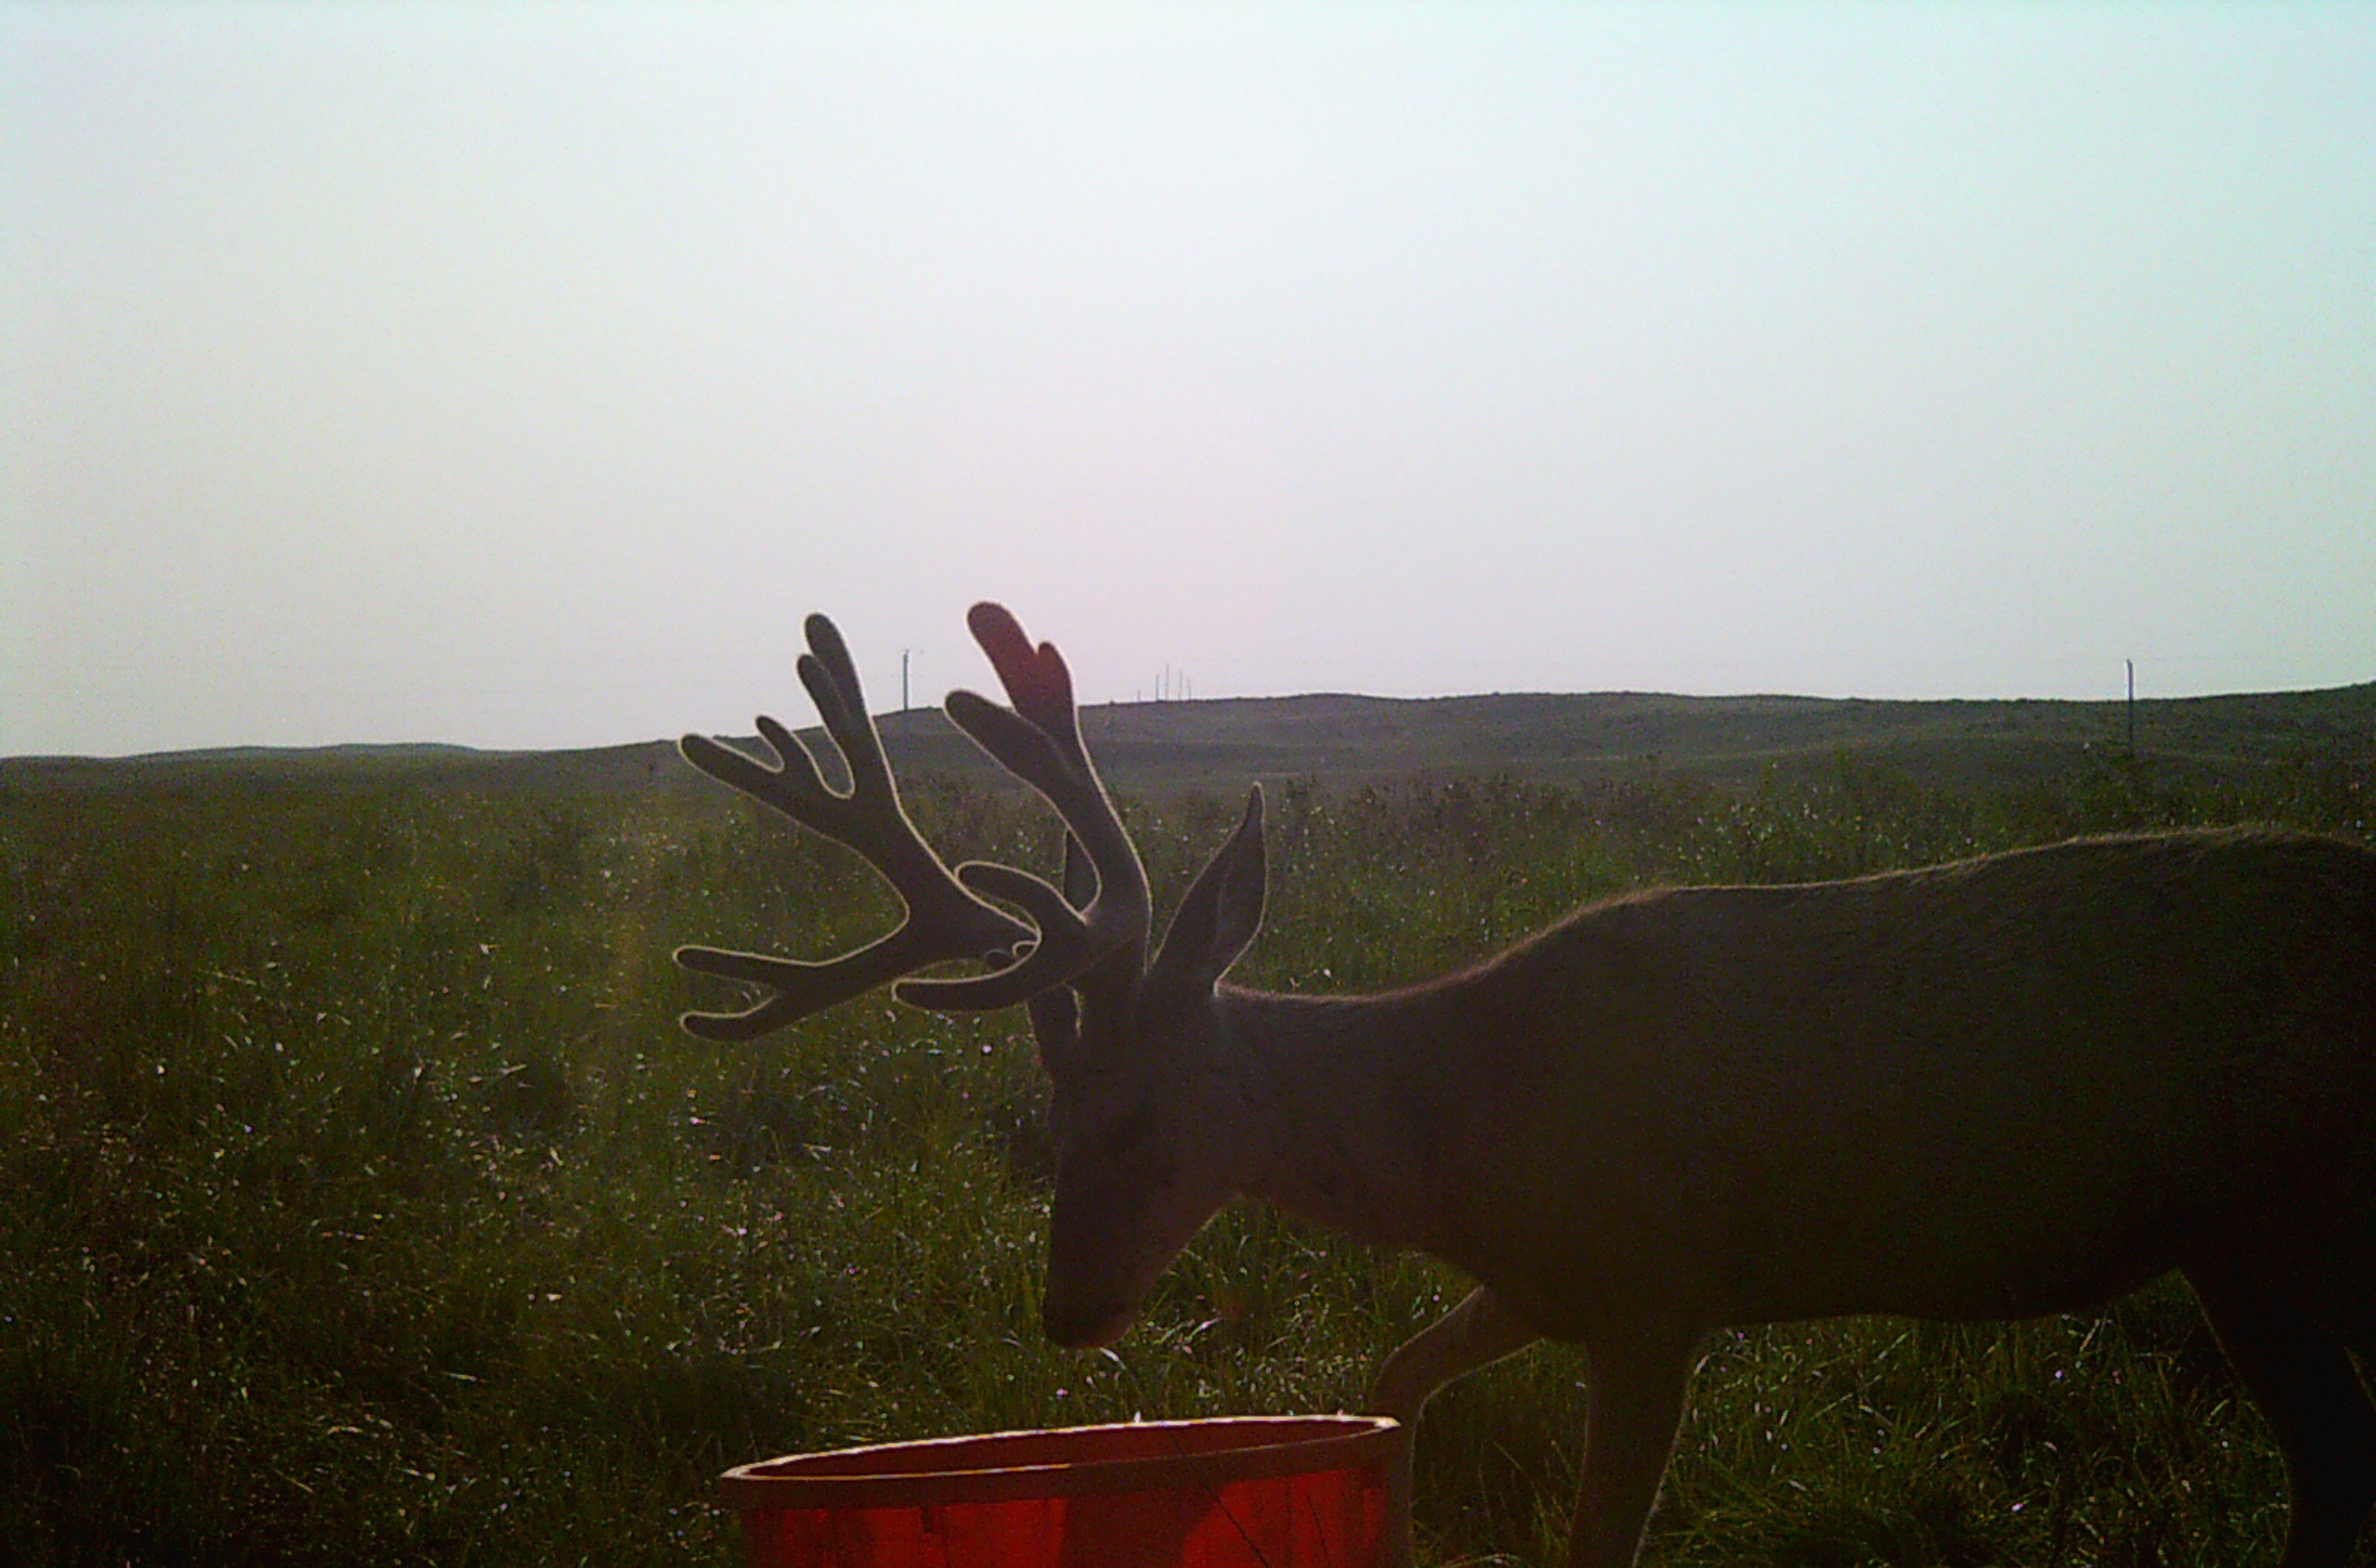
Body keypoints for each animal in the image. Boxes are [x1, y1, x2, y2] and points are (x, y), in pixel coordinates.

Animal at [677, 603, 2376, 1568]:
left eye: (1136, 1118)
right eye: (1041, 1123)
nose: (1066, 1313)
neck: (1456, 1126)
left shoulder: (1655, 1287)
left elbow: (1595, 1537)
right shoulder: (1543, 1281)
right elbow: (1393, 1377)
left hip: (2279, 1213)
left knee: (2338, 1463)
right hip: (2256, 1240)